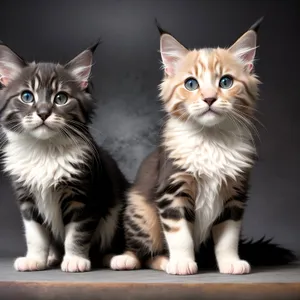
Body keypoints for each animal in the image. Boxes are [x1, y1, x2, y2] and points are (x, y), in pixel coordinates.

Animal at [0, 41, 127, 274]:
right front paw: (35, 260)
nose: (43, 113)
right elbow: (35, 235)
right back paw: (52, 257)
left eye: (61, 98)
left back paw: (118, 258)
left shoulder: (83, 197)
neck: (44, 151)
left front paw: (75, 260)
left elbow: (76, 234)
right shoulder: (27, 199)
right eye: (27, 97)